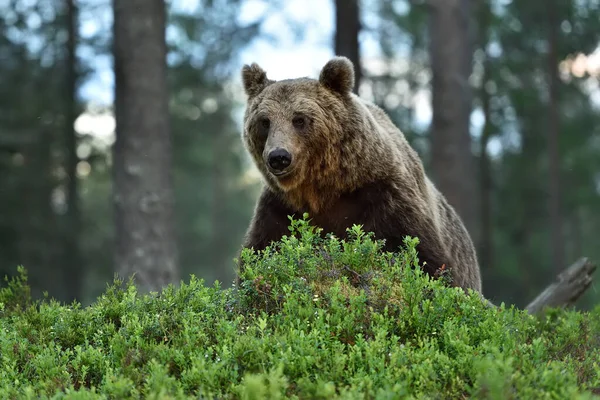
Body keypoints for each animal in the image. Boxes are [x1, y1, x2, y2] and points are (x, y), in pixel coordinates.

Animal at [238, 56, 482, 294]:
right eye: (264, 121)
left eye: (299, 119)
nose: (279, 156)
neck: (323, 188)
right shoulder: (280, 208)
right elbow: (260, 253)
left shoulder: (387, 198)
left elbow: (425, 260)